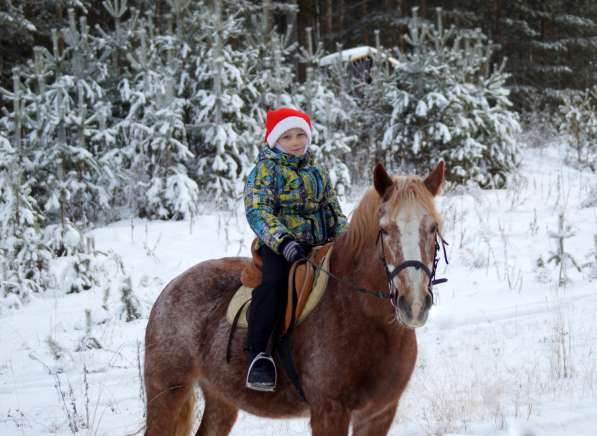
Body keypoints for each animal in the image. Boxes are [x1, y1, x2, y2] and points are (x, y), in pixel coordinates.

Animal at [142, 161, 444, 436]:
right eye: (384, 229)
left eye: (433, 228)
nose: (414, 304)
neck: (363, 316)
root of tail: (172, 286)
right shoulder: (329, 411)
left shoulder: (379, 412)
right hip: (166, 392)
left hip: (221, 397)